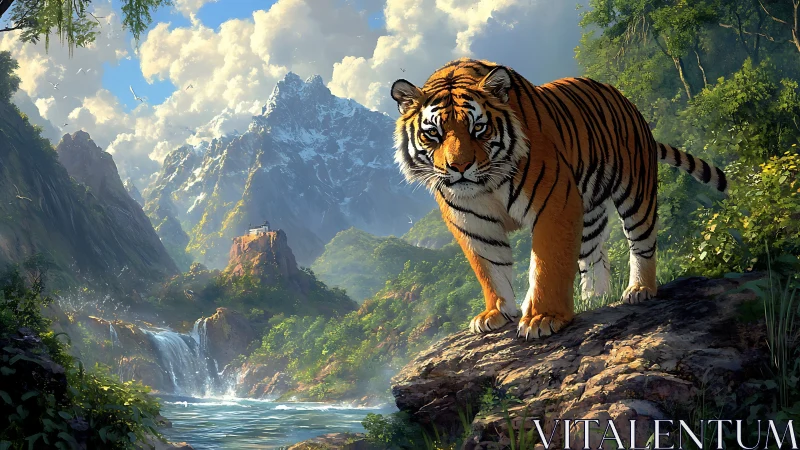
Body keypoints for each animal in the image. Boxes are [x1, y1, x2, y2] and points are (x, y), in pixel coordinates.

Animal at [390, 58, 728, 339]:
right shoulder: (472, 221)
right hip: (589, 207)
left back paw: (640, 289)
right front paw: (496, 313)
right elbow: (490, 268)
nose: (458, 168)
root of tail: (622, 97)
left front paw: (544, 318)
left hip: (636, 190)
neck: (486, 185)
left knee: (642, 241)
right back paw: (595, 300)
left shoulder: (553, 202)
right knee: (593, 255)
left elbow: (547, 264)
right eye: (433, 134)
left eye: (479, 129)